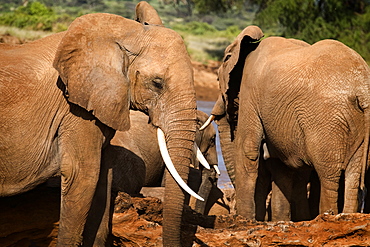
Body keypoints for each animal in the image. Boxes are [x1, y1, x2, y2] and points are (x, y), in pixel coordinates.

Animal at [202, 26, 370, 221]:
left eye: (224, 63)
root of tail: (362, 88)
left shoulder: (250, 90)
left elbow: (247, 150)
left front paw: (244, 220)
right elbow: (280, 162)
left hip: (326, 120)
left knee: (328, 174)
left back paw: (327, 216)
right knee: (353, 173)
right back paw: (346, 215)